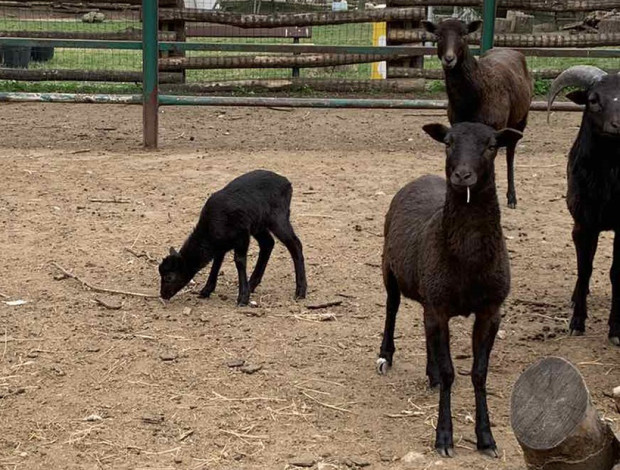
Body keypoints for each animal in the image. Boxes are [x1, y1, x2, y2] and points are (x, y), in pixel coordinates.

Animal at [159, 169, 306, 304]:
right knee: (268, 243)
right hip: (258, 224)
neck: (209, 232)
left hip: (278, 217)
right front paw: (206, 290)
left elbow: (239, 261)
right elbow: (217, 263)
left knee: (295, 244)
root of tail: (286, 182)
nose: (163, 295)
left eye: (169, 277)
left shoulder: (242, 235)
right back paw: (252, 284)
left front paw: (243, 298)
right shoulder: (221, 244)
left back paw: (300, 291)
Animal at [378, 120, 524, 456]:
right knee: (391, 308)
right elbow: (449, 372)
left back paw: (429, 371)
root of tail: (421, 178)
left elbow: (479, 374)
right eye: (448, 142)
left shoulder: (489, 311)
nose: (462, 176)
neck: (468, 261)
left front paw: (486, 439)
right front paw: (443, 438)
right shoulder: (440, 307)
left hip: (428, 291)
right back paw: (385, 355)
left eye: (492, 145)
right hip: (390, 268)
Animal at [422, 19, 532, 208]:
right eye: (438, 36)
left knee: (510, 154)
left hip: (520, 120)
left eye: (464, 35)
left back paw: (512, 197)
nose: (449, 59)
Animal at [548, 67, 620, 346]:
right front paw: (577, 322)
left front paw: (615, 330)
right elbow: (584, 268)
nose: (617, 125)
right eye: (593, 99)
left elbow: (614, 272)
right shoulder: (583, 224)